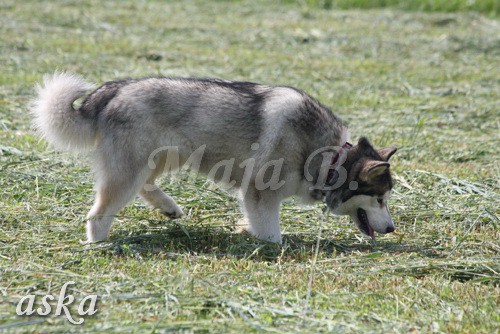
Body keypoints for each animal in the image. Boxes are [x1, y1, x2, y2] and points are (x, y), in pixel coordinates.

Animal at [32, 73, 398, 244]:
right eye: (380, 199)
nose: (393, 228)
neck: (330, 156)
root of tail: (116, 88)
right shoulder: (260, 194)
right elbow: (272, 235)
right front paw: (270, 246)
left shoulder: (254, 199)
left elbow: (254, 223)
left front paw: (244, 231)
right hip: (129, 172)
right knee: (99, 213)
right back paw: (99, 243)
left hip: (165, 158)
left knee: (146, 185)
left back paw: (168, 207)